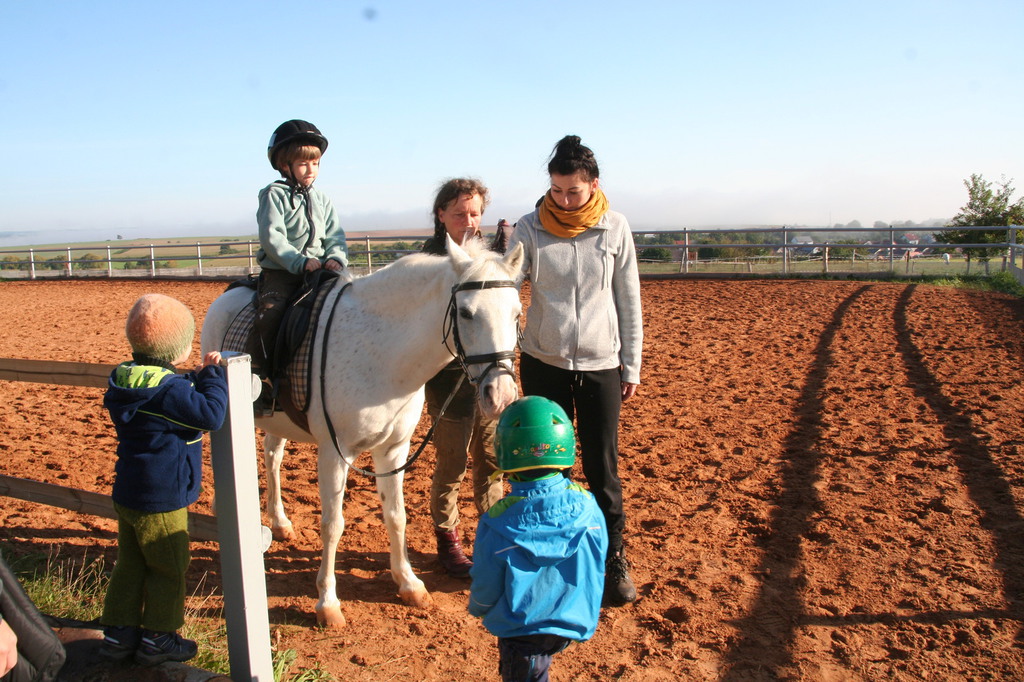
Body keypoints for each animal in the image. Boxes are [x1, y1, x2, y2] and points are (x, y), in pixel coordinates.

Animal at [200, 237, 524, 627]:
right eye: (466, 313)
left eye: (517, 313)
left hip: (277, 419)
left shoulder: (394, 451)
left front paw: (409, 584)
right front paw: (327, 603)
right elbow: (333, 524)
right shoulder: (335, 454)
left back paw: (279, 522)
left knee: (273, 456)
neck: (383, 354)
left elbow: (397, 516)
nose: (500, 395)